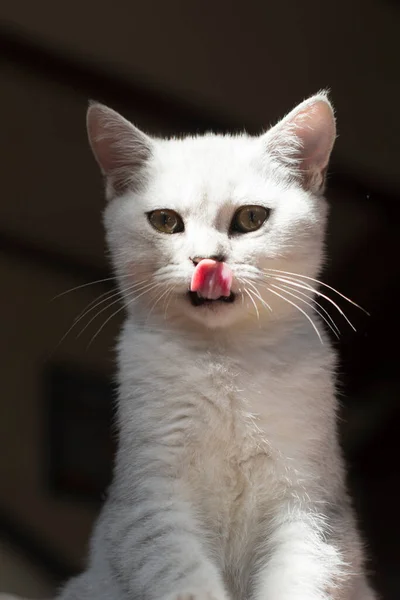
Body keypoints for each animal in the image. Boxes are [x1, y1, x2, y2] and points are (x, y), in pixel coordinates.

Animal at [58, 94, 376, 600]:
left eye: (251, 218)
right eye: (165, 221)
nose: (207, 260)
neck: (226, 362)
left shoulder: (312, 508)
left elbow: (302, 575)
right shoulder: (151, 503)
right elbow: (183, 579)